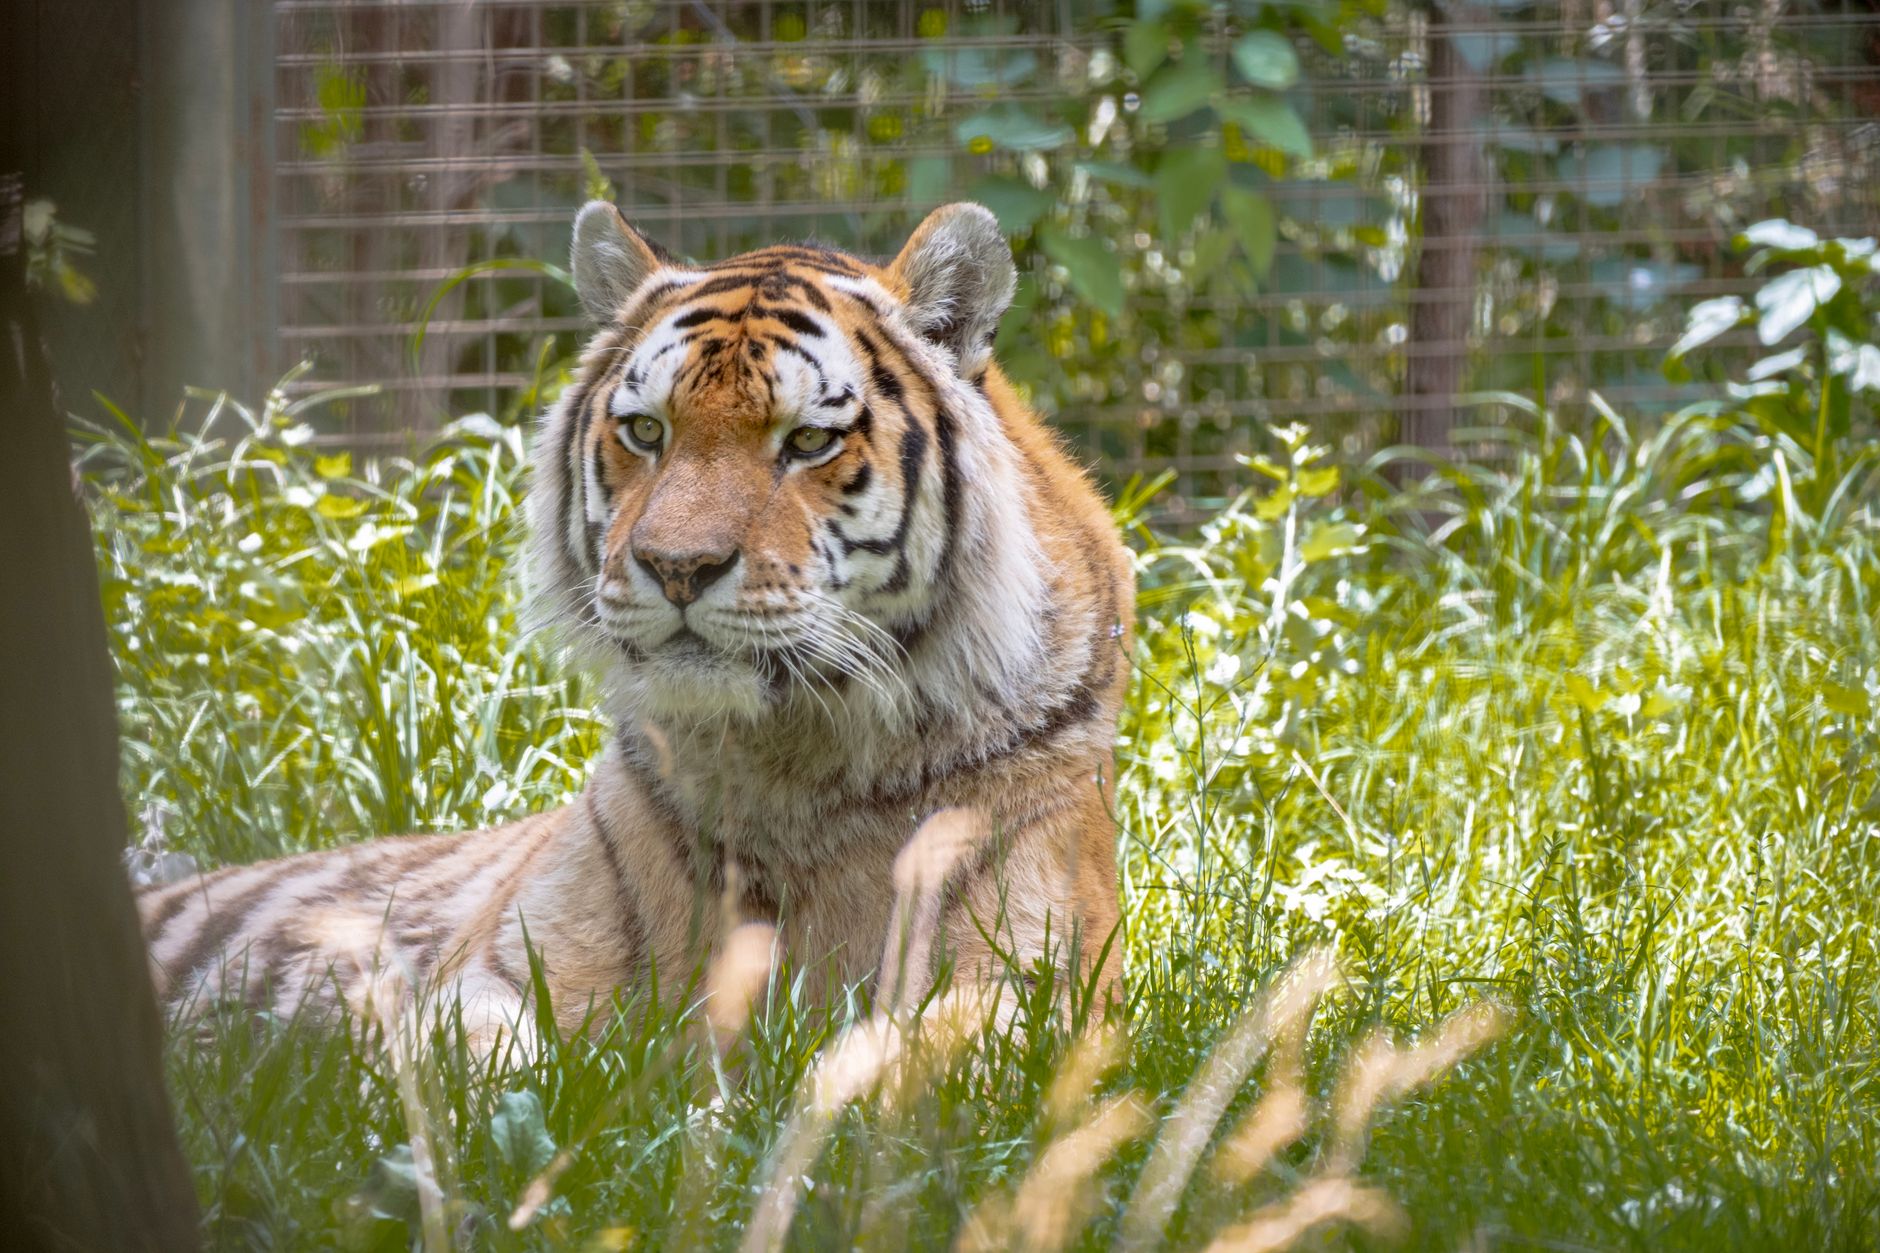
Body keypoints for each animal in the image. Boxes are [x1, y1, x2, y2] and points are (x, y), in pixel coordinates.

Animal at [137, 201, 1135, 1043]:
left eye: (810, 440)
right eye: (647, 431)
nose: (676, 567)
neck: (793, 763)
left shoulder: (1035, 978)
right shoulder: (505, 963)